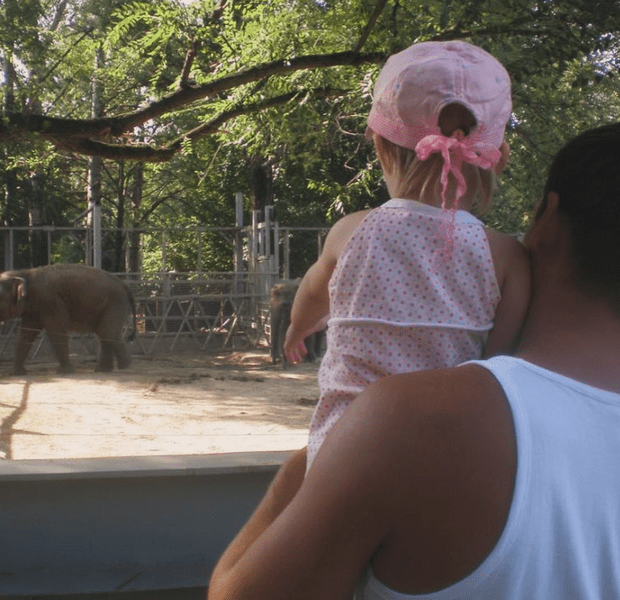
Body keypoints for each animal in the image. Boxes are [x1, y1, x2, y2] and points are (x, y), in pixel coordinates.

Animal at [0, 264, 137, 376]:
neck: (23, 273)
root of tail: (125, 286)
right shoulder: (32, 309)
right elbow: (24, 335)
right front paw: (16, 373)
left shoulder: (50, 301)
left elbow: (56, 331)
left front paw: (63, 372)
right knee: (105, 333)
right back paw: (102, 370)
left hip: (115, 303)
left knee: (107, 333)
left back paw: (125, 365)